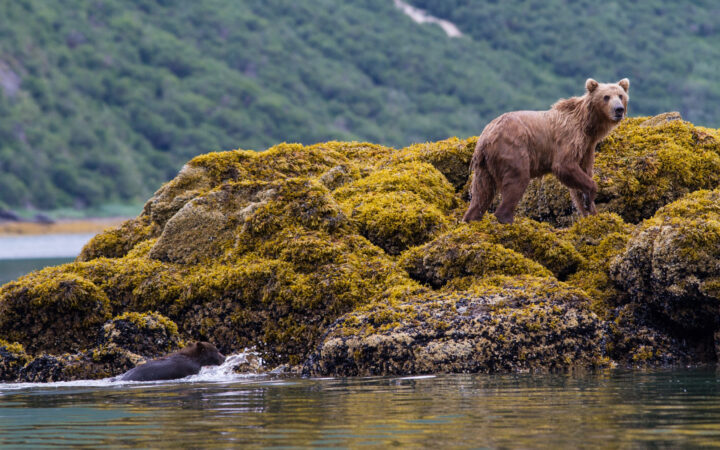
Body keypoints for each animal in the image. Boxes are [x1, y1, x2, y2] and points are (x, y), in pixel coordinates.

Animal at [463, 78, 629, 224]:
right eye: (606, 97)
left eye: (621, 96)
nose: (619, 109)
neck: (587, 126)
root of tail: (485, 136)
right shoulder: (568, 138)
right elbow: (564, 166)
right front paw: (590, 195)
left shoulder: (587, 147)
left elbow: (581, 177)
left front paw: (591, 212)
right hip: (512, 149)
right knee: (517, 180)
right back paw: (508, 219)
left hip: (484, 165)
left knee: (482, 192)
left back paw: (472, 217)